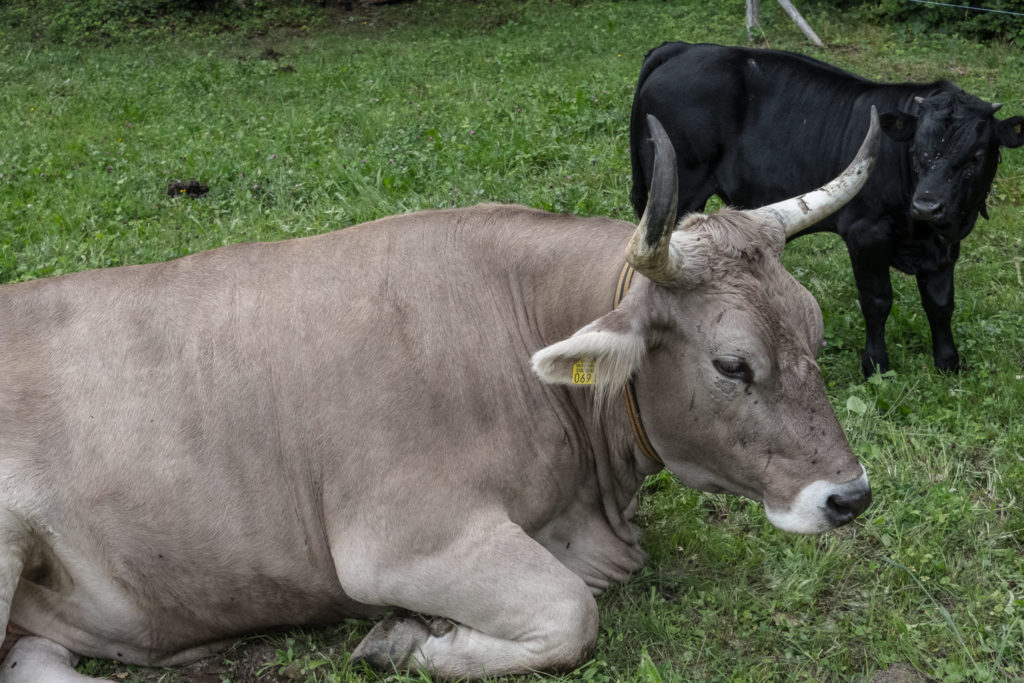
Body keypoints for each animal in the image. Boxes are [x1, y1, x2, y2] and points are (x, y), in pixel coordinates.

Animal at [630, 41, 1024, 376]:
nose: (927, 205)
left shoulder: (946, 245)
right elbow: (877, 300)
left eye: (976, 156)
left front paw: (947, 362)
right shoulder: (866, 233)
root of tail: (683, 48)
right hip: (680, 190)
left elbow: (940, 302)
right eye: (917, 150)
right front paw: (876, 365)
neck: (925, 233)